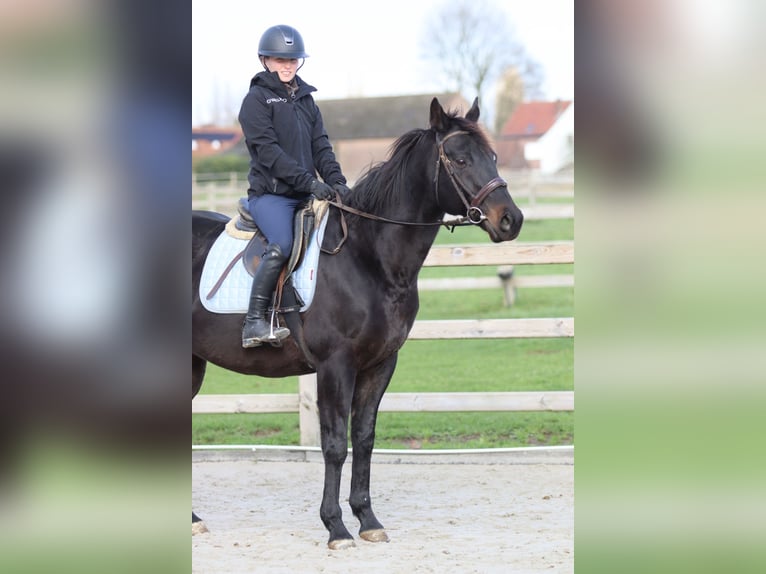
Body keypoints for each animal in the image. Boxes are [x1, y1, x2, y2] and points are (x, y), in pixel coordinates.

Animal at [192, 97, 524, 549]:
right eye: (459, 158)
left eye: (492, 157)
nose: (511, 220)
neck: (367, 256)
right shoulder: (335, 366)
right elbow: (334, 444)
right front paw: (335, 526)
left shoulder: (380, 364)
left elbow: (364, 438)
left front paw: (367, 519)